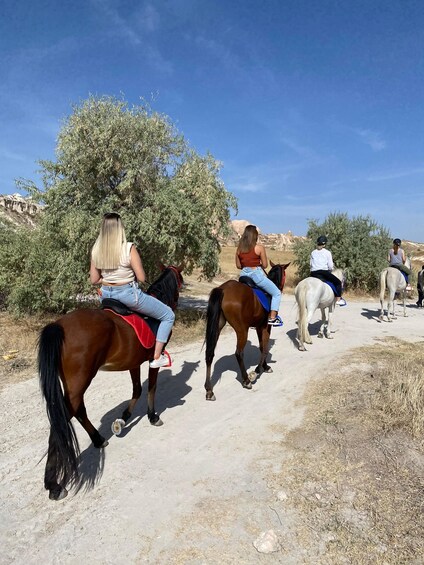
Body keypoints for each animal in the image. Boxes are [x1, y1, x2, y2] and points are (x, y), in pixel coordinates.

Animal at [36, 264, 182, 498]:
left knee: (78, 410)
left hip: (73, 383)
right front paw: (152, 416)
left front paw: (123, 418)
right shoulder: (152, 360)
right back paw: (53, 484)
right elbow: (151, 387)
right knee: (62, 419)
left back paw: (97, 439)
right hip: (81, 379)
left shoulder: (133, 362)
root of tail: (59, 325)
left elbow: (136, 390)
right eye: (180, 279)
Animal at [204, 262, 290, 398]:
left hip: (217, 327)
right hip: (242, 330)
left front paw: (265, 366)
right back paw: (246, 380)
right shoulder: (266, 326)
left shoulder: (259, 327)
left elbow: (262, 347)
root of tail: (223, 289)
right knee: (239, 353)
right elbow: (265, 348)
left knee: (209, 353)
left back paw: (209, 390)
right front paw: (257, 371)